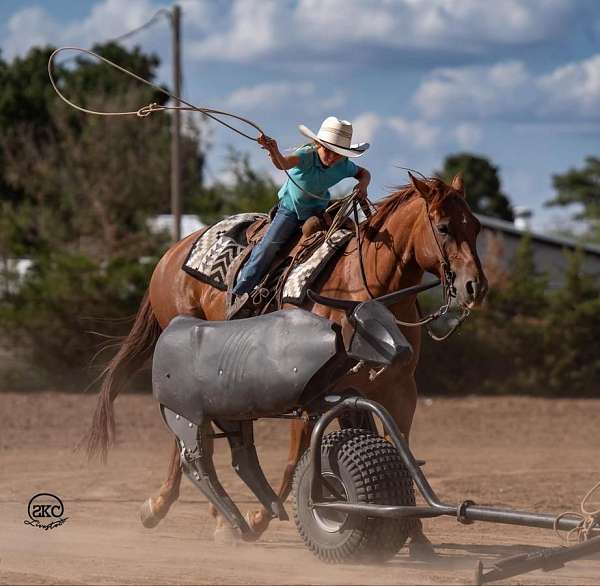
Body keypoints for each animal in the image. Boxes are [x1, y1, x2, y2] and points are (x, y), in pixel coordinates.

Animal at [85, 171, 488, 556]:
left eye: (475, 226)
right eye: (443, 227)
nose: (476, 287)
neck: (364, 286)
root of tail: (173, 252)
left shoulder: (399, 391)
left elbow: (403, 454)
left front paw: (418, 538)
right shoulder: (310, 398)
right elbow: (296, 461)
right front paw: (262, 518)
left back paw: (200, 513)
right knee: (192, 438)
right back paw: (178, 510)